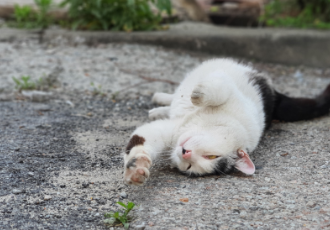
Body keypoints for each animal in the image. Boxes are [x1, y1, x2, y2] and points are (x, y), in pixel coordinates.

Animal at [122, 58, 330, 185]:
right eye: (212, 156)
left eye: (190, 167)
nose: (186, 153)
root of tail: (276, 97)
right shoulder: (230, 91)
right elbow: (219, 90)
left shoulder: (167, 133)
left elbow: (140, 140)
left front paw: (137, 169)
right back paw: (162, 99)